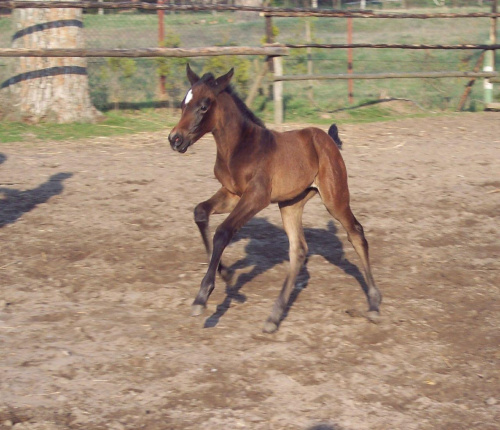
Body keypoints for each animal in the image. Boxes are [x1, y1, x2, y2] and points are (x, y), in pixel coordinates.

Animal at [168, 64, 382, 332]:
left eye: (204, 106)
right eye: (183, 103)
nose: (175, 139)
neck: (239, 147)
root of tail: (328, 139)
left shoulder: (256, 196)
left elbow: (223, 232)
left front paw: (202, 296)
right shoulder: (232, 193)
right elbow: (200, 212)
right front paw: (226, 274)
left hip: (335, 198)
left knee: (356, 233)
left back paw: (374, 303)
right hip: (290, 204)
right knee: (298, 250)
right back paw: (274, 315)